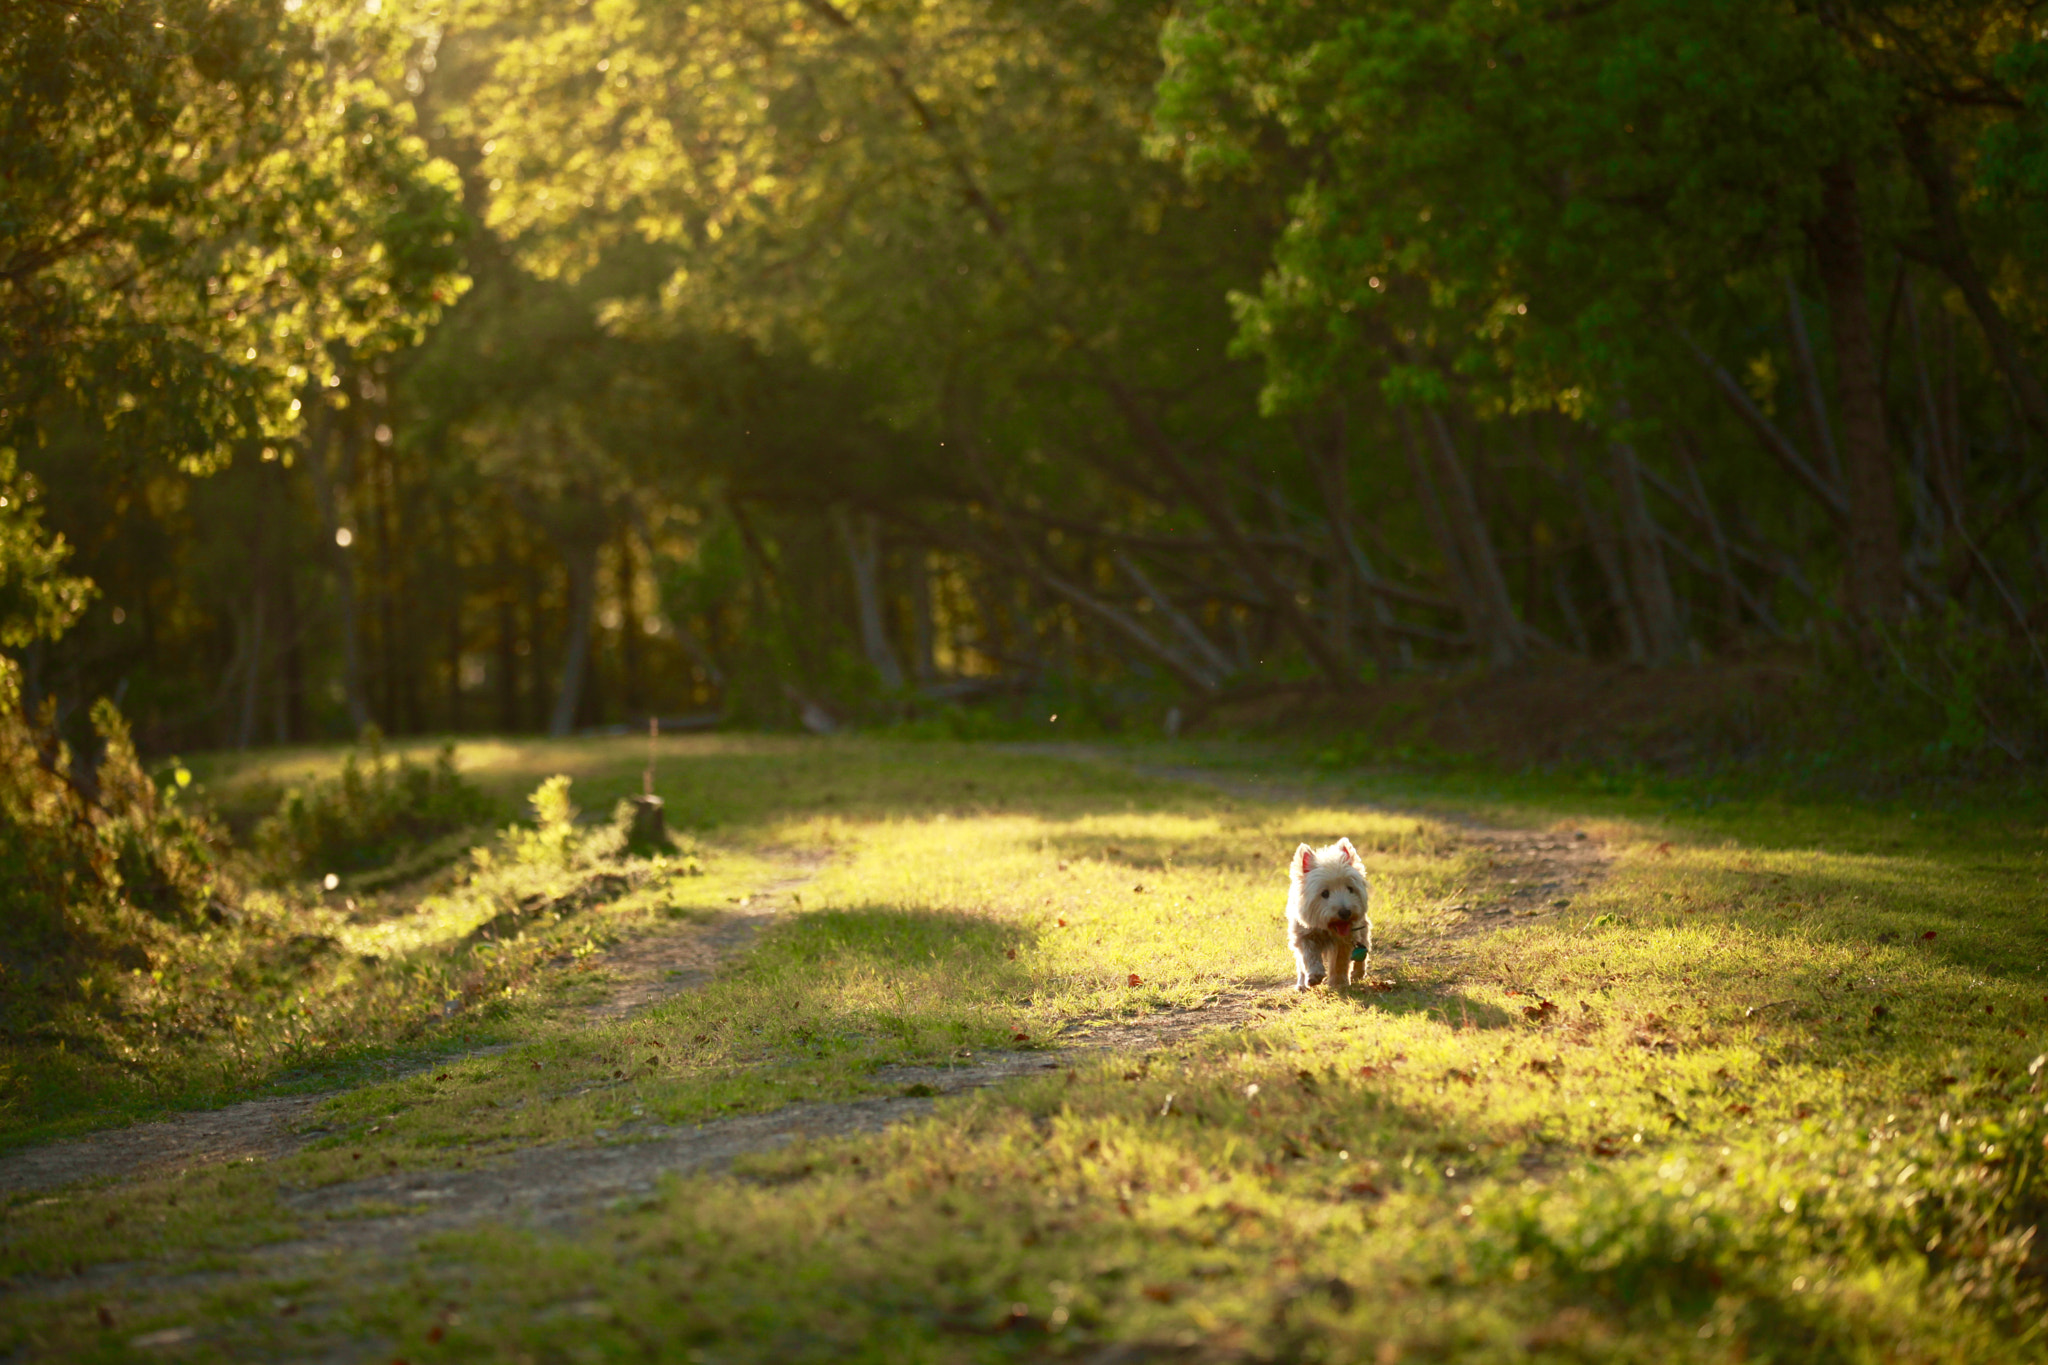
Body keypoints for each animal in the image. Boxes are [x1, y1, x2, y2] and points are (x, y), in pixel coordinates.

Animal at [1286, 839, 1368, 986]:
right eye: (1324, 893)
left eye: (1350, 889)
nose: (1345, 912)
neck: (1326, 928)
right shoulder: (1303, 935)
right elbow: (1309, 956)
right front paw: (1314, 976)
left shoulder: (1345, 939)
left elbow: (1340, 962)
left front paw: (1339, 983)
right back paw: (1301, 983)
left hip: (1362, 927)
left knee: (1364, 944)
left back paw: (1358, 972)